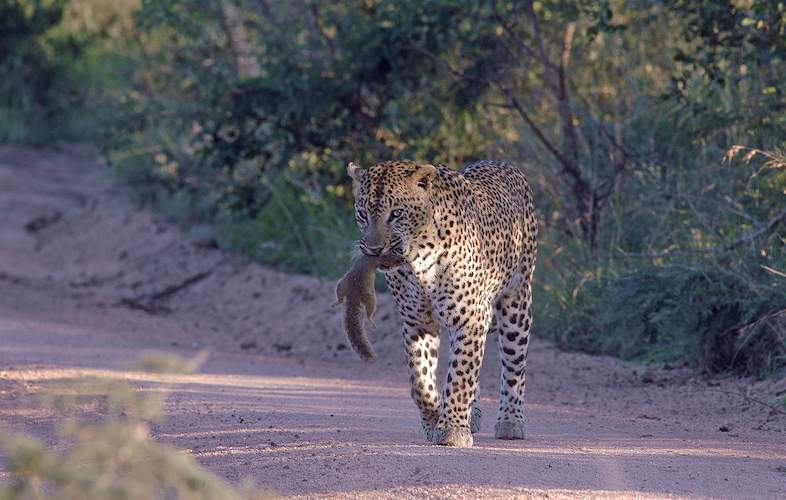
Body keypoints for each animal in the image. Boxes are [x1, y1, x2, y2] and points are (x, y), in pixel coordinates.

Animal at [346, 158, 536, 448]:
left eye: (396, 214)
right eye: (362, 214)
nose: (375, 249)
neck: (418, 259)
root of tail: (502, 163)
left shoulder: (472, 317)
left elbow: (460, 376)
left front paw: (452, 429)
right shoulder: (417, 322)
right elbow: (420, 380)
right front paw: (435, 417)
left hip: (517, 301)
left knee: (514, 364)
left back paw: (510, 421)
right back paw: (473, 414)